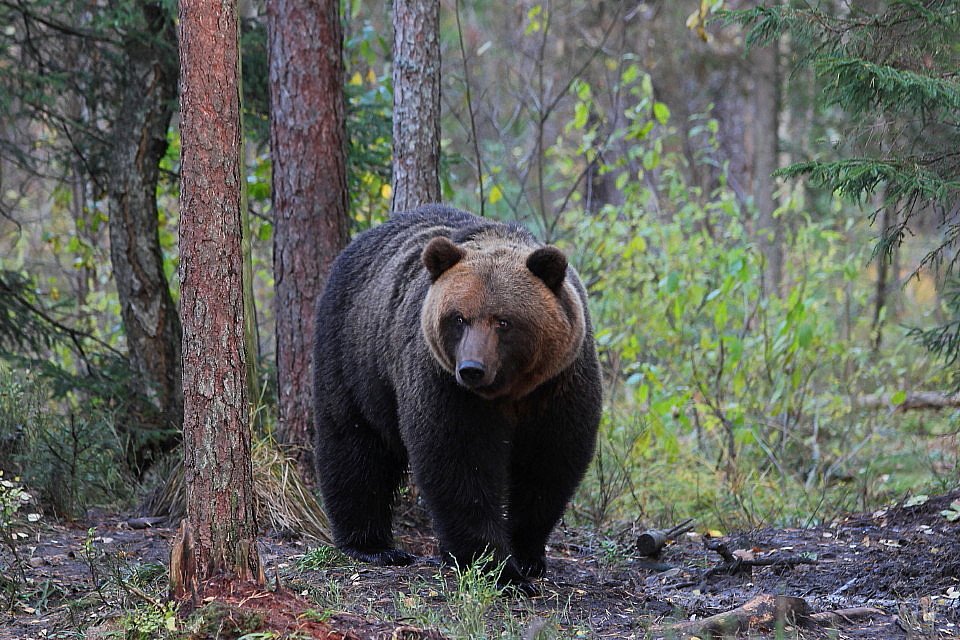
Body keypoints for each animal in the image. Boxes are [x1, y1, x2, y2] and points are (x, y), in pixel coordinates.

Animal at [314, 205, 600, 592]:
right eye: (459, 318)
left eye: (504, 321)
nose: (472, 368)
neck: (510, 390)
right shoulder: (445, 384)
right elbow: (459, 460)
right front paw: (496, 567)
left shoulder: (559, 383)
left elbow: (549, 462)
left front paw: (527, 556)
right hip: (355, 354)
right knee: (354, 443)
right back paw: (374, 546)